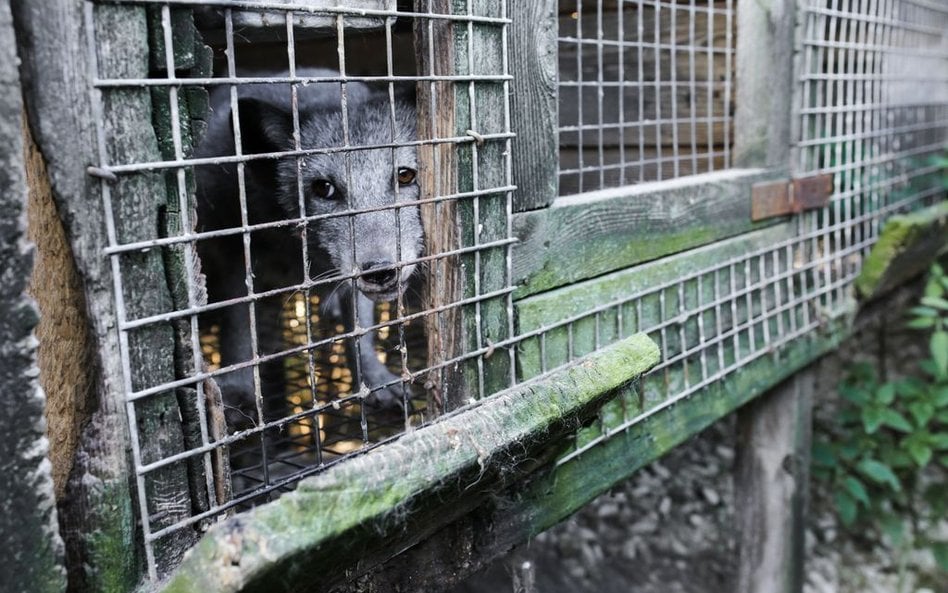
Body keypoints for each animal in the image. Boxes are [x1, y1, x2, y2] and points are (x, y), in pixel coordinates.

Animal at [196, 70, 422, 426]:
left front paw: (373, 381)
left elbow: (360, 332)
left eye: (405, 175)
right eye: (323, 188)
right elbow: (239, 330)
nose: (381, 271)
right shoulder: (234, 254)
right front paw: (236, 391)